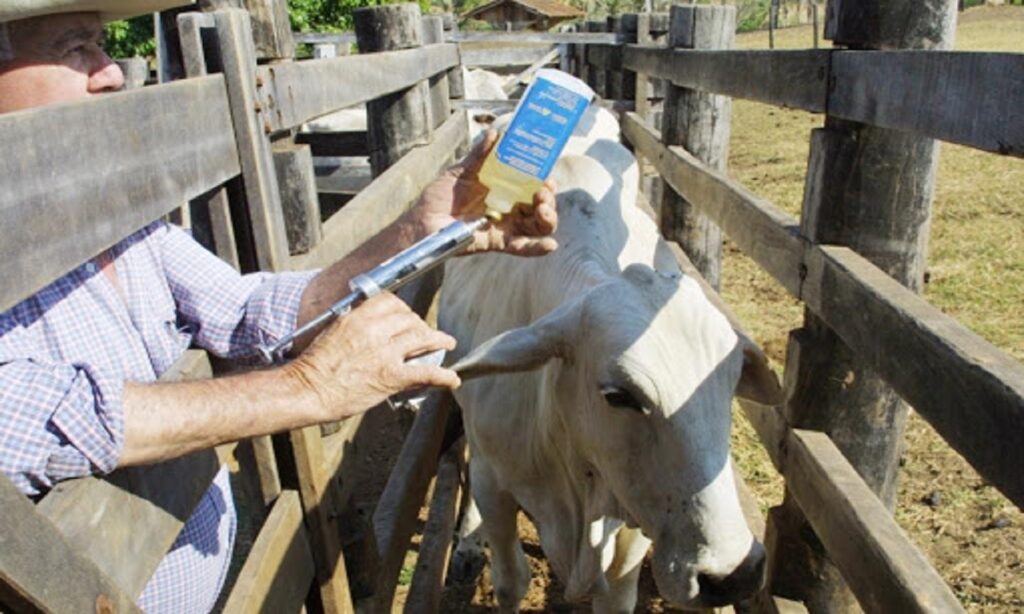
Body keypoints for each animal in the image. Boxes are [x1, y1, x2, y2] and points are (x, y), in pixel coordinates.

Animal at [436, 125, 778, 609]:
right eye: (618, 396)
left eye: (728, 385)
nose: (734, 575)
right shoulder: (494, 484)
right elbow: (510, 581)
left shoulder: (632, 528)